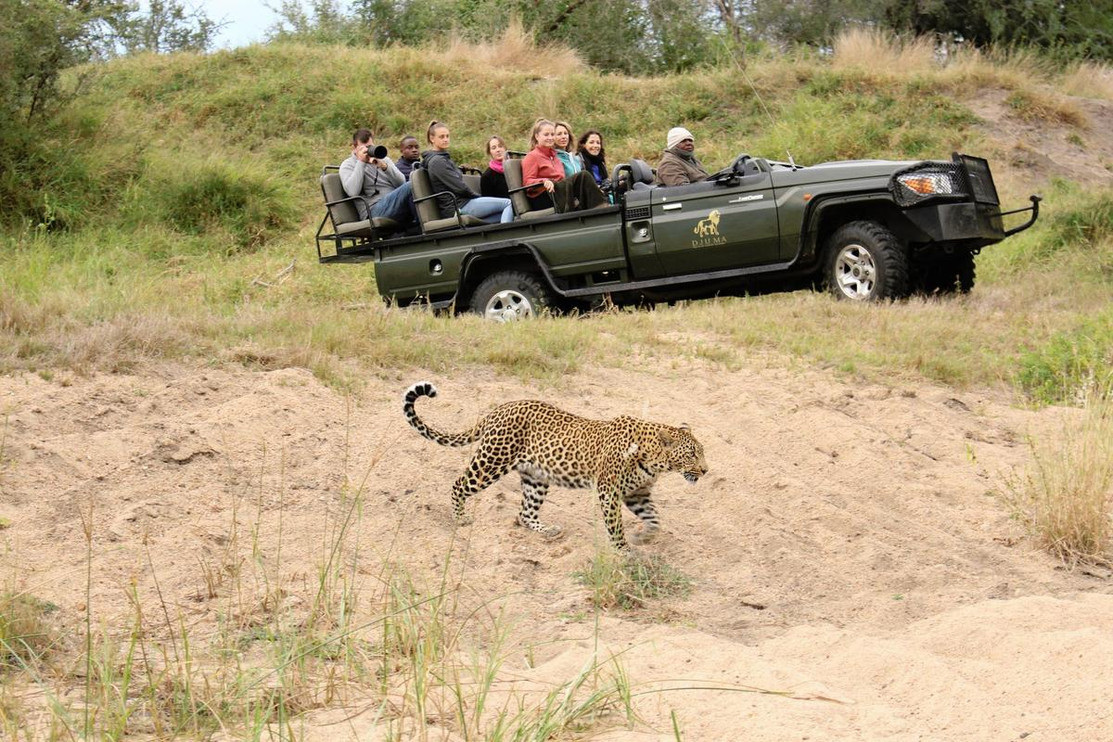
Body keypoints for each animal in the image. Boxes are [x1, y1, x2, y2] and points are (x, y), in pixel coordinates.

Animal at [405, 382, 707, 545]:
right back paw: (460, 518)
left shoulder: (637, 493)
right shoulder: (608, 491)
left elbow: (654, 518)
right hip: (491, 461)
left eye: (701, 453)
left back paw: (548, 530)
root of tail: (497, 410)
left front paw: (645, 537)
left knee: (525, 513)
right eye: (692, 454)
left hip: (536, 478)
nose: (706, 470)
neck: (655, 461)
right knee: (458, 485)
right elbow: (615, 525)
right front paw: (623, 551)